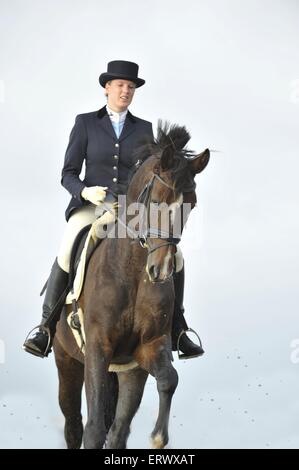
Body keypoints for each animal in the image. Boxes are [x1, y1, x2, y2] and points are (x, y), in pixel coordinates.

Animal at [52, 121, 210, 448]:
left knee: (119, 430)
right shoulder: (97, 348)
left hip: (128, 373)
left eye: (191, 206)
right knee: (74, 425)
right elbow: (94, 429)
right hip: (67, 361)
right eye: (157, 200)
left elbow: (169, 379)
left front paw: (159, 437)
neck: (133, 272)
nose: (160, 269)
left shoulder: (148, 348)